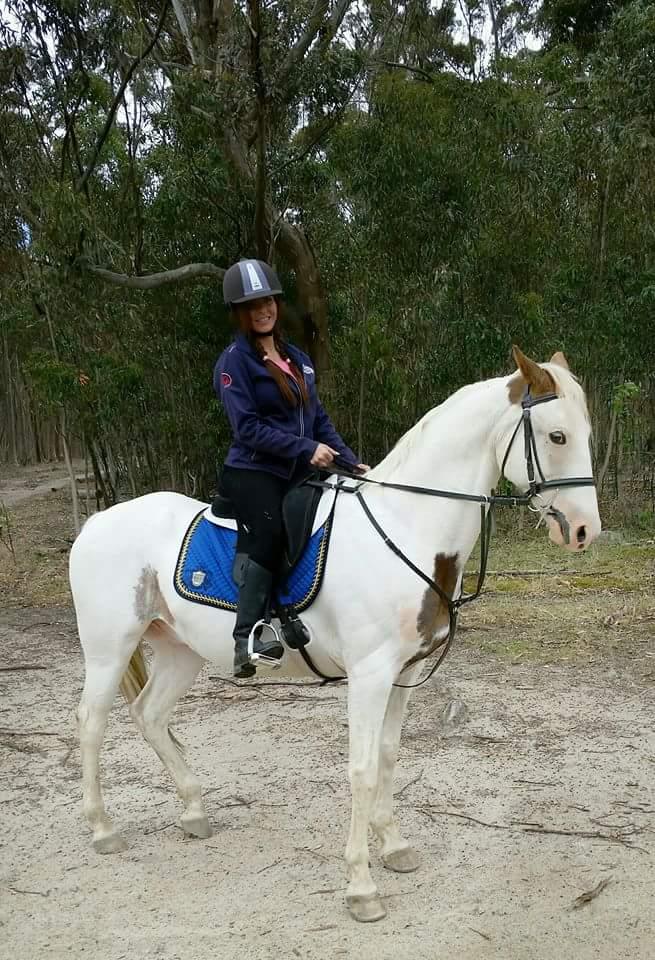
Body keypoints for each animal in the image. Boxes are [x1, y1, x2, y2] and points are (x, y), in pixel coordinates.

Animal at [70, 347, 600, 923]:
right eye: (557, 436)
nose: (584, 531)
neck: (406, 526)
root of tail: (97, 520)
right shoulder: (369, 676)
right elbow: (362, 769)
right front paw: (361, 887)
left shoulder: (404, 672)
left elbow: (389, 755)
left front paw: (394, 847)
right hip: (109, 650)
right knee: (92, 723)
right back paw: (102, 829)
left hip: (179, 652)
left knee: (150, 714)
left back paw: (193, 812)